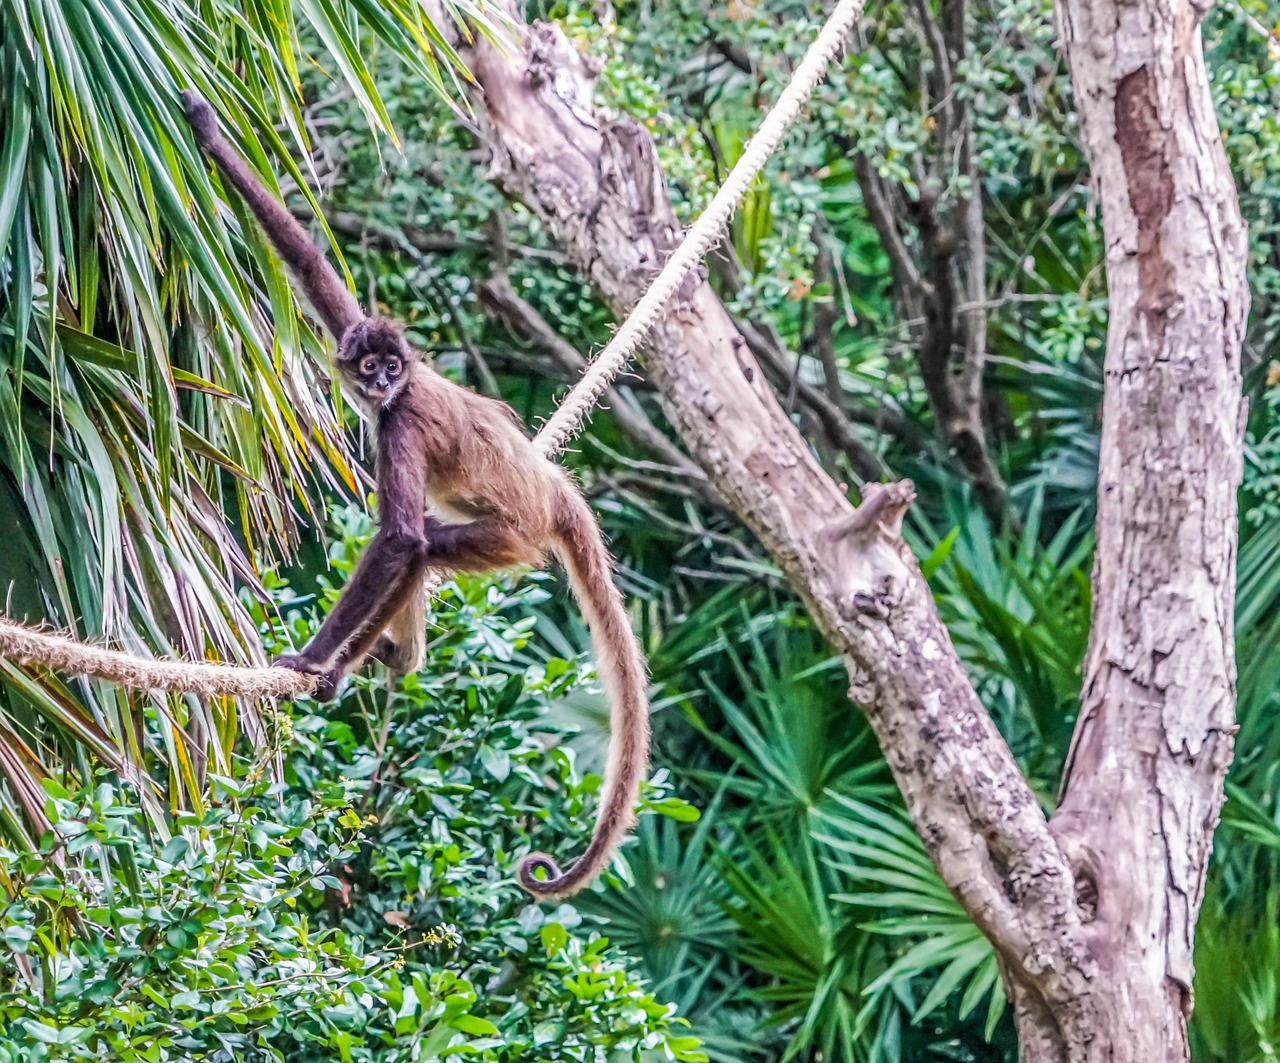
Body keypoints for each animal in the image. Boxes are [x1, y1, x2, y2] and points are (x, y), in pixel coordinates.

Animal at [180, 96, 650, 901]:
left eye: (392, 368)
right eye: (369, 363)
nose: (380, 381)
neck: (396, 397)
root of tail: (554, 494)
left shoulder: (398, 424)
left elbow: (399, 537)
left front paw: (313, 660)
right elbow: (314, 270)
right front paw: (208, 133)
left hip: (509, 537)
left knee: (423, 544)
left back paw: (361, 663)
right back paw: (393, 656)